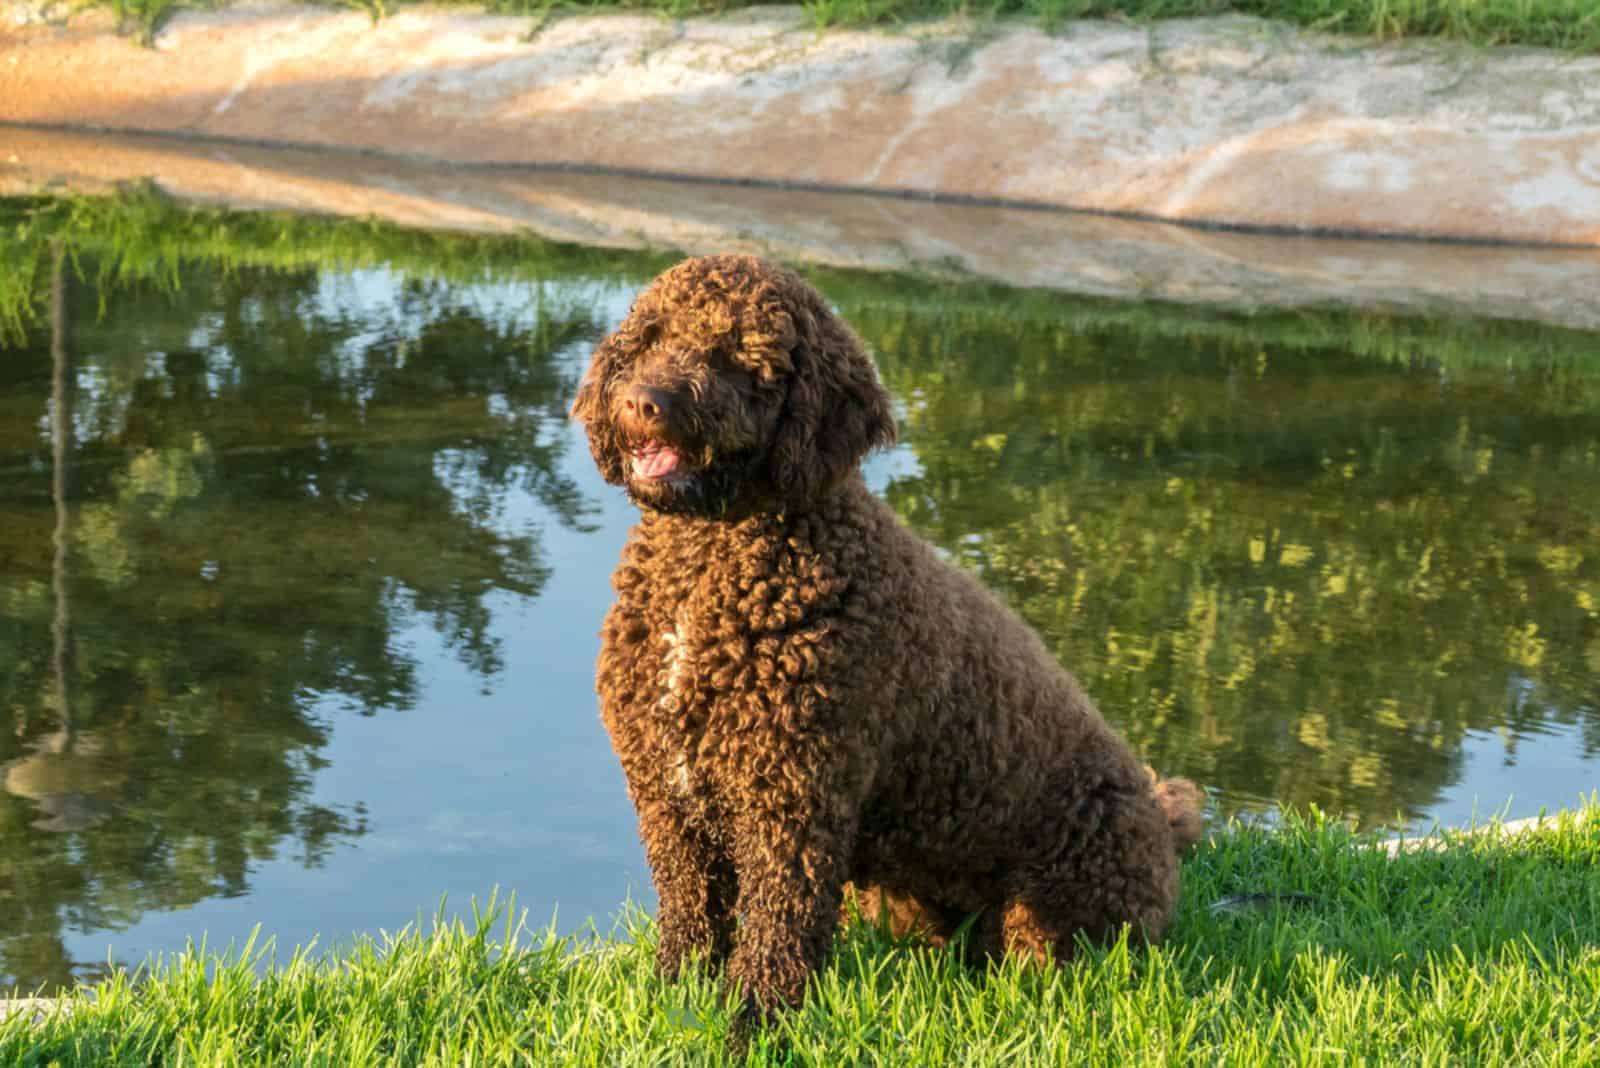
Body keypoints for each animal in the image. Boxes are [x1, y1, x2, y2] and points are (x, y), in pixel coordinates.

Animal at [572, 252, 1203, 1023]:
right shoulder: (668, 793)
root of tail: (1162, 828)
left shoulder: (792, 801)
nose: (644, 402)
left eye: (735, 354)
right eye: (652, 336)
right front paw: (675, 997)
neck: (708, 571)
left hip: (1061, 899)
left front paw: (756, 1021)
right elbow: (691, 912)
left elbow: (776, 929)